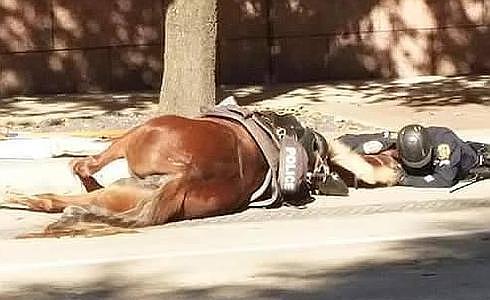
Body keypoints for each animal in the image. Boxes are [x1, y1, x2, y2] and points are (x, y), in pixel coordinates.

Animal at [5, 106, 400, 236]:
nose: (397, 170)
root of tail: (186, 174)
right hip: (122, 191)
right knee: (53, 200)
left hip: (135, 137)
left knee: (80, 169)